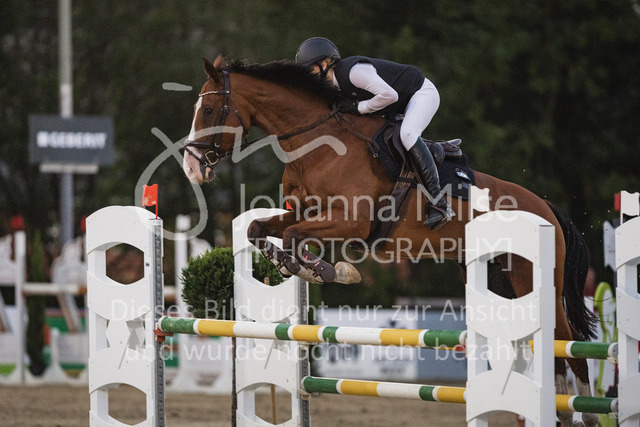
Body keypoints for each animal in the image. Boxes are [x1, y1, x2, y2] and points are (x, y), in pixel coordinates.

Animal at [182, 55, 598, 426]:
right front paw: (299, 265)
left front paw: (322, 270)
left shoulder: (350, 222)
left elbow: (293, 235)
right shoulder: (303, 211)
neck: (317, 143)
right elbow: (259, 229)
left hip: (531, 280)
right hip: (498, 278)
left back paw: (584, 413)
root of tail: (545, 208)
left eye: (209, 110)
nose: (192, 167)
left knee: (571, 344)